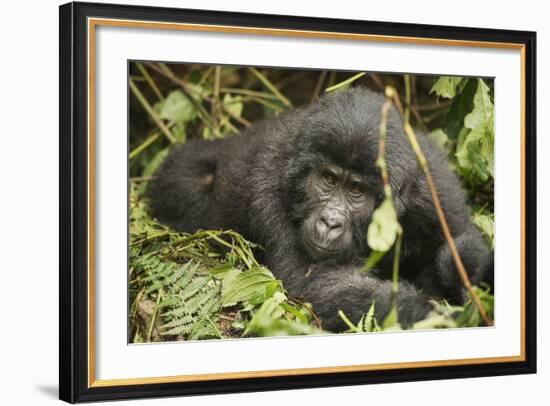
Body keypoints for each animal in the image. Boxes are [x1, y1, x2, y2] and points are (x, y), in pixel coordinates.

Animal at [148, 87, 496, 332]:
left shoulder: (434, 188)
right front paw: (424, 312)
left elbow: (462, 239)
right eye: (327, 179)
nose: (329, 223)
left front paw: (471, 277)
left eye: (356, 190)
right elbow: (313, 284)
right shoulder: (267, 184)